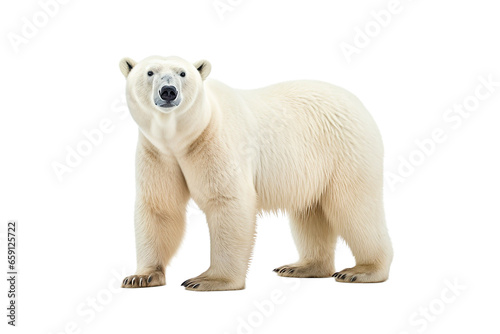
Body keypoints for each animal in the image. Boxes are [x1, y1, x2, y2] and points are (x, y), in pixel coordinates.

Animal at [119, 54, 392, 290]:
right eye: (150, 72)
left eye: (182, 73)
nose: (168, 91)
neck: (180, 139)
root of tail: (360, 104)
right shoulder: (158, 153)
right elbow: (160, 207)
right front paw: (141, 276)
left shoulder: (215, 141)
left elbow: (229, 201)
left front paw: (208, 280)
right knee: (310, 212)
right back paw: (302, 267)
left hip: (345, 150)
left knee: (353, 207)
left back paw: (362, 270)